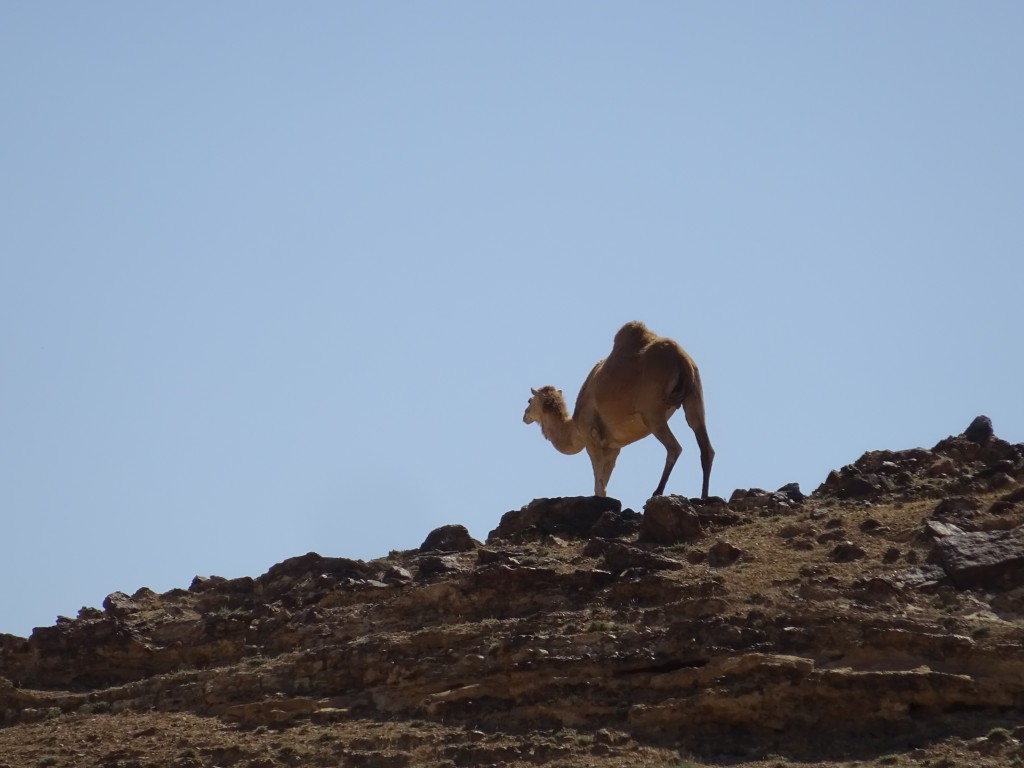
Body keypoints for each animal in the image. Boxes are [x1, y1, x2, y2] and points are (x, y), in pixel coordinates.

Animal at [528, 323, 712, 499]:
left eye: (529, 401)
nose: (525, 416)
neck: (574, 428)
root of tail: (682, 358)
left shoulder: (591, 436)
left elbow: (599, 485)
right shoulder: (613, 447)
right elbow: (603, 483)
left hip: (652, 413)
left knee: (674, 448)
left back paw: (657, 492)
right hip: (694, 395)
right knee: (704, 442)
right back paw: (704, 496)